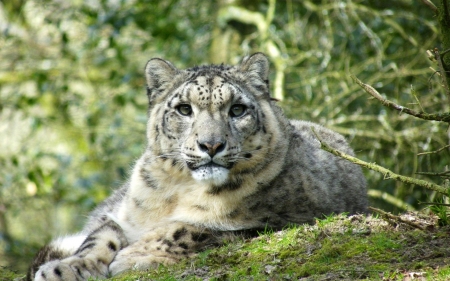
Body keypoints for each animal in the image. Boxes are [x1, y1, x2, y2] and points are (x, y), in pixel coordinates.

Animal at [27, 52, 366, 280]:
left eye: (237, 109)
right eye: (184, 109)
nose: (211, 145)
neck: (177, 190)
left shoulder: (280, 219)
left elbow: (190, 228)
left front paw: (134, 255)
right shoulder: (122, 214)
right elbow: (100, 235)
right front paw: (64, 268)